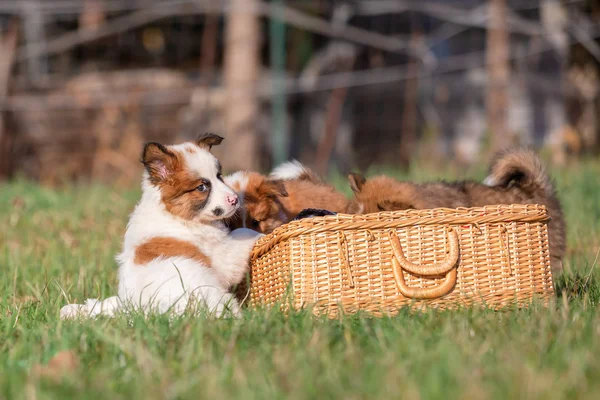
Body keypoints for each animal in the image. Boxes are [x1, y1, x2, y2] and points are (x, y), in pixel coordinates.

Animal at [60, 134, 262, 318]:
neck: (175, 215)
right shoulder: (223, 255)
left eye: (219, 176)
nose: (235, 199)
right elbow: (243, 233)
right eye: (202, 187)